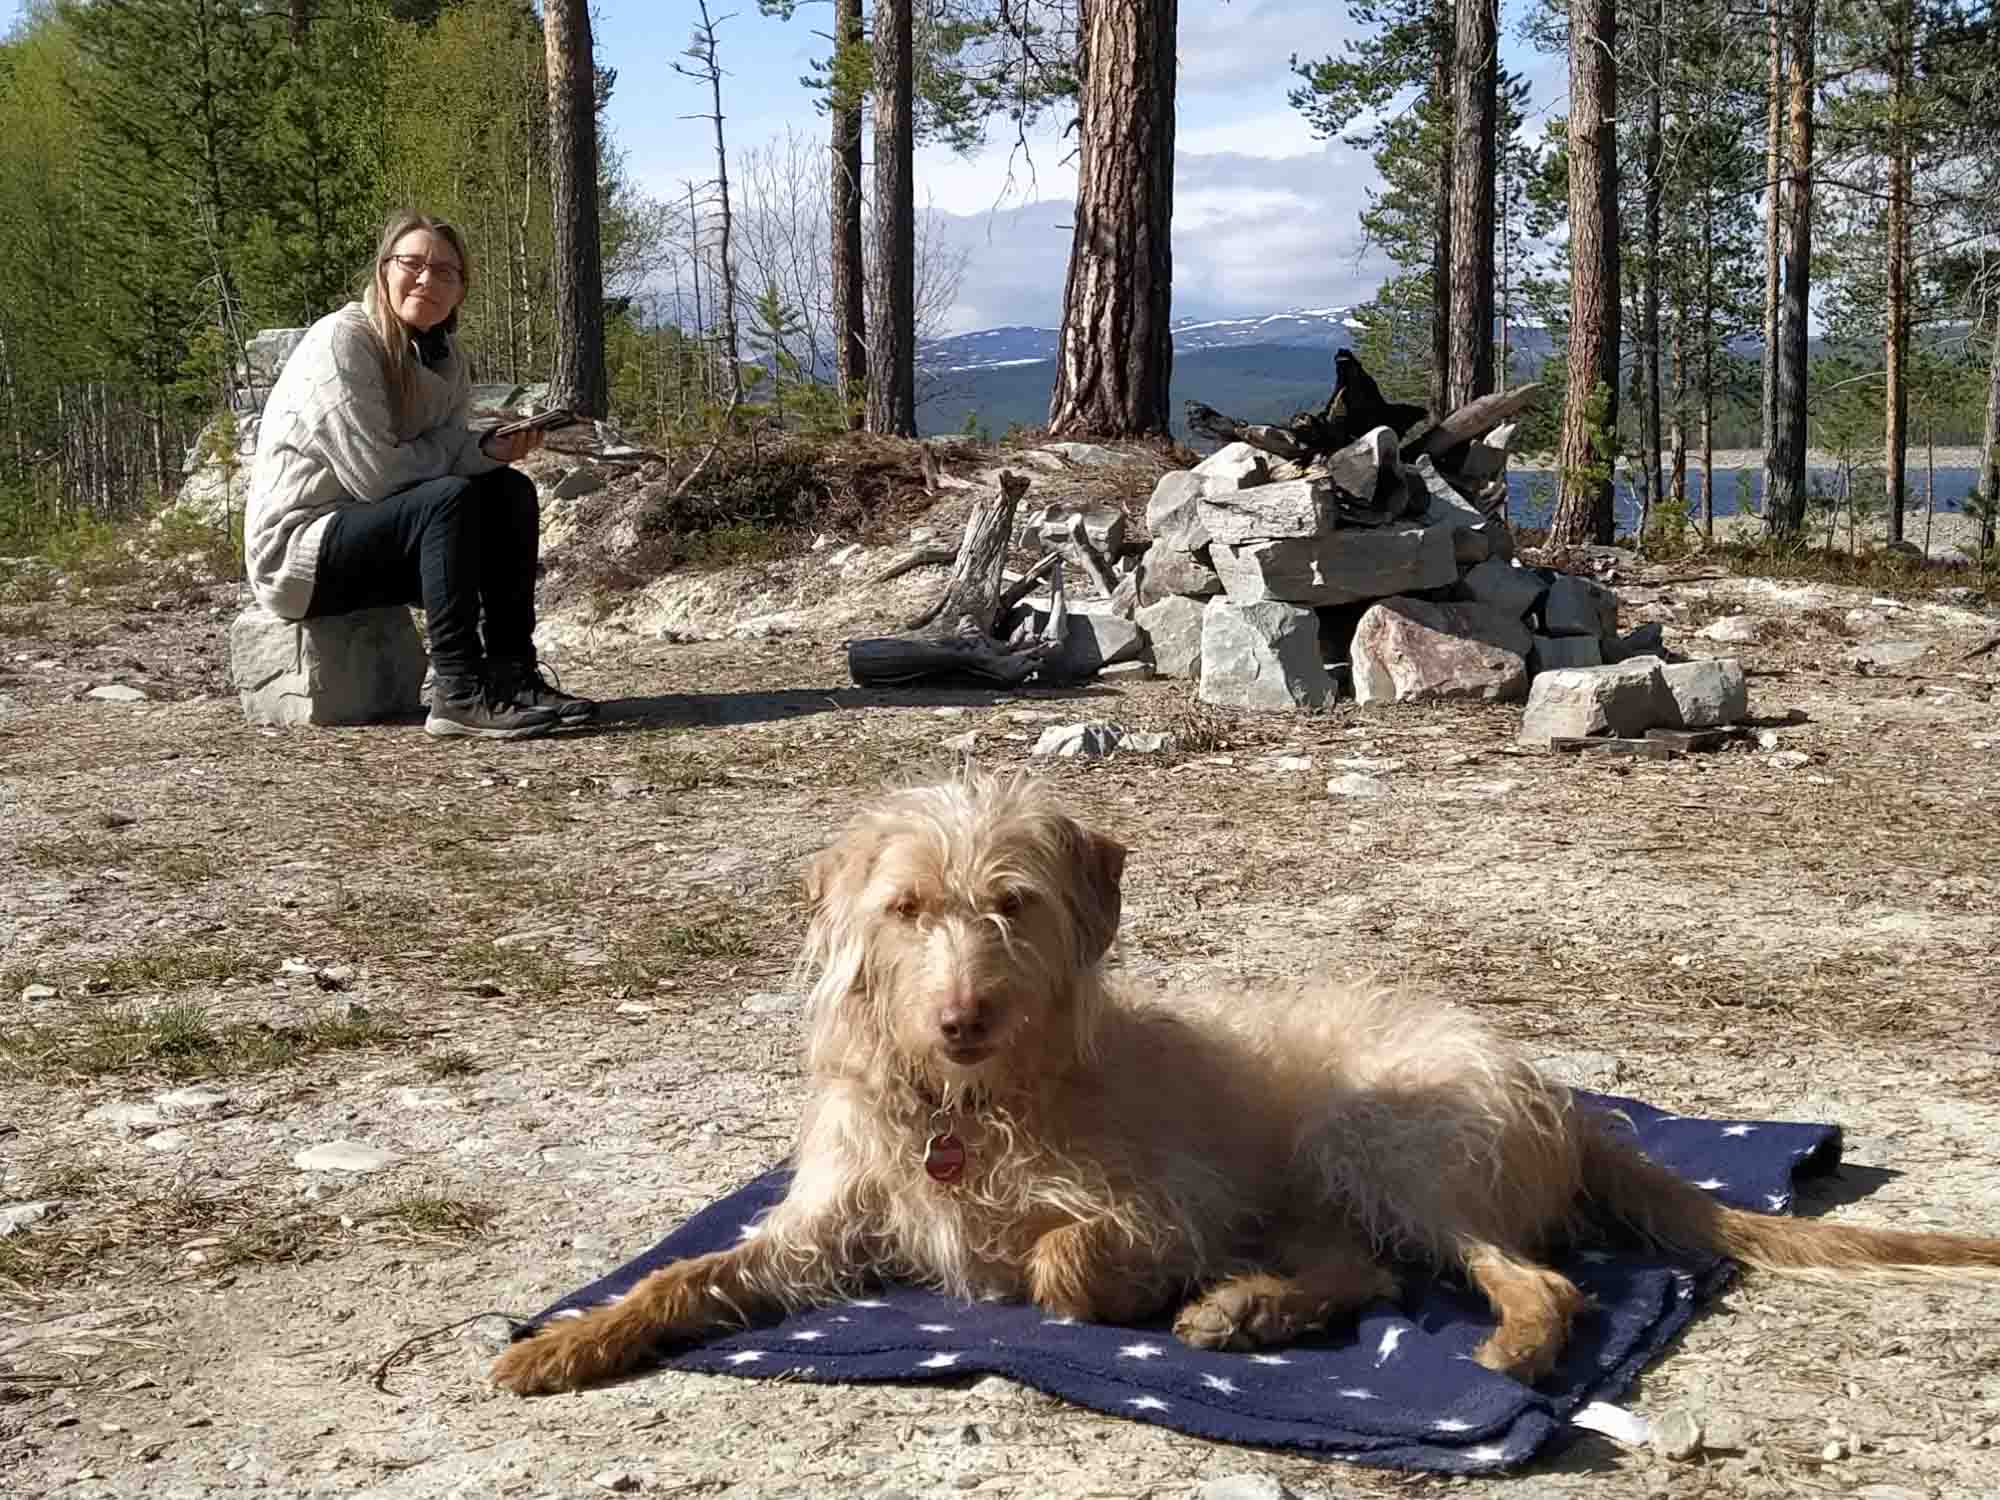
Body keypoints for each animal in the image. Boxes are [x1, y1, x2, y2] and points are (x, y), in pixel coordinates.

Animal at [493, 774, 2000, 1396]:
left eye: (1012, 905)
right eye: (908, 909)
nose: (964, 1016)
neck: (970, 1107)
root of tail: (1560, 1096)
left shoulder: (1161, 1205)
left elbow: (1059, 1265)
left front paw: (1085, 1282)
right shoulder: (819, 1230)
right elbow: (688, 1276)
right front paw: (569, 1339)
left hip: (1374, 1137)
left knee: (1525, 1278)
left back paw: (1497, 1344)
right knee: (1372, 1273)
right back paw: (1253, 1310)